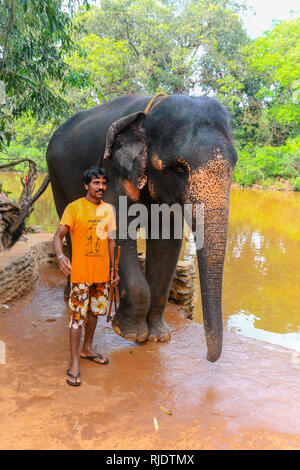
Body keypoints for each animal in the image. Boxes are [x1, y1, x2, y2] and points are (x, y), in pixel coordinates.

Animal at [45, 93, 237, 362]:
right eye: (180, 168)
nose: (209, 358)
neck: (151, 114)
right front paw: (131, 333)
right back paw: (69, 297)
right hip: (56, 176)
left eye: (234, 165)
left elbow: (168, 239)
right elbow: (118, 232)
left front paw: (158, 336)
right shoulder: (114, 171)